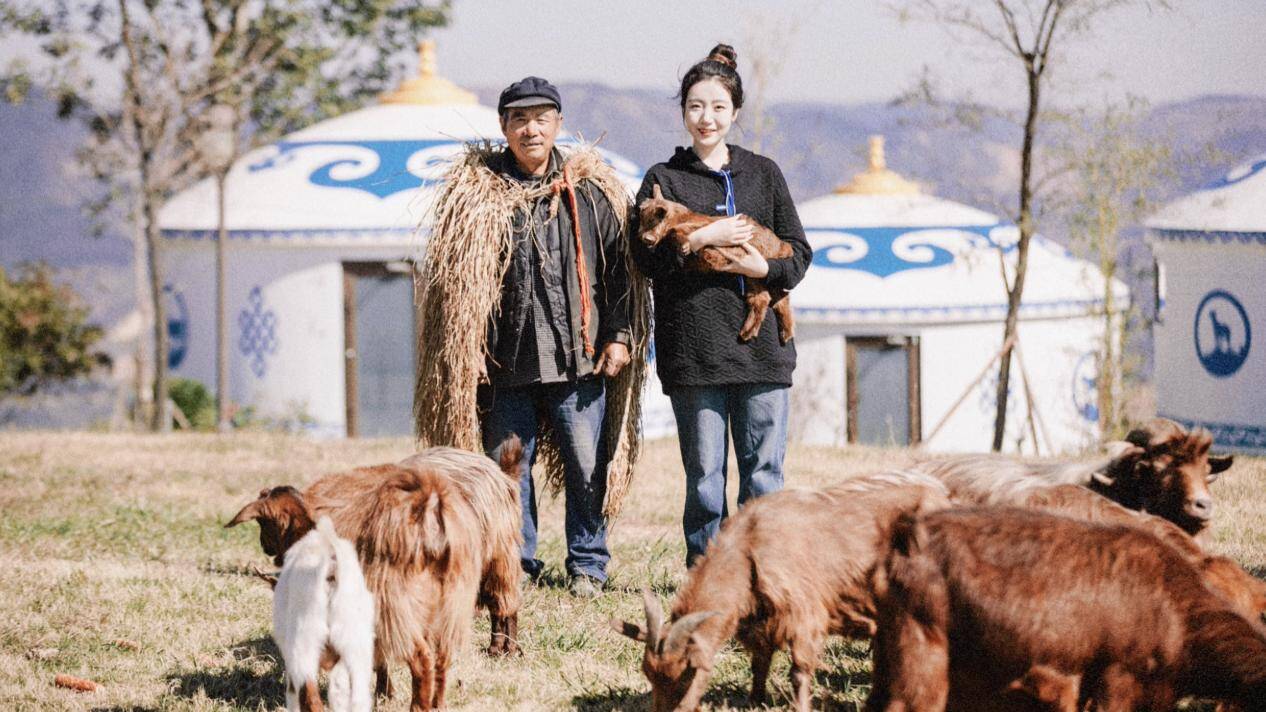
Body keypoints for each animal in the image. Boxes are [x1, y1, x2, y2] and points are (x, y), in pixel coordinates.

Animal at [607, 468, 946, 704]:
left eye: (688, 673)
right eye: (648, 675)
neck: (747, 546)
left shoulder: (804, 613)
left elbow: (799, 673)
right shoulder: (760, 621)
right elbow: (759, 664)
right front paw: (754, 701)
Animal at [638, 182, 795, 344]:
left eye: (653, 220)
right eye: (641, 219)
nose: (645, 238)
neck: (678, 217)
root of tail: (782, 245)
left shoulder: (697, 225)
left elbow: (675, 231)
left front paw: (685, 246)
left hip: (756, 272)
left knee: (770, 298)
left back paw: (756, 333)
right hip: (754, 276)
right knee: (771, 298)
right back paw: (775, 334)